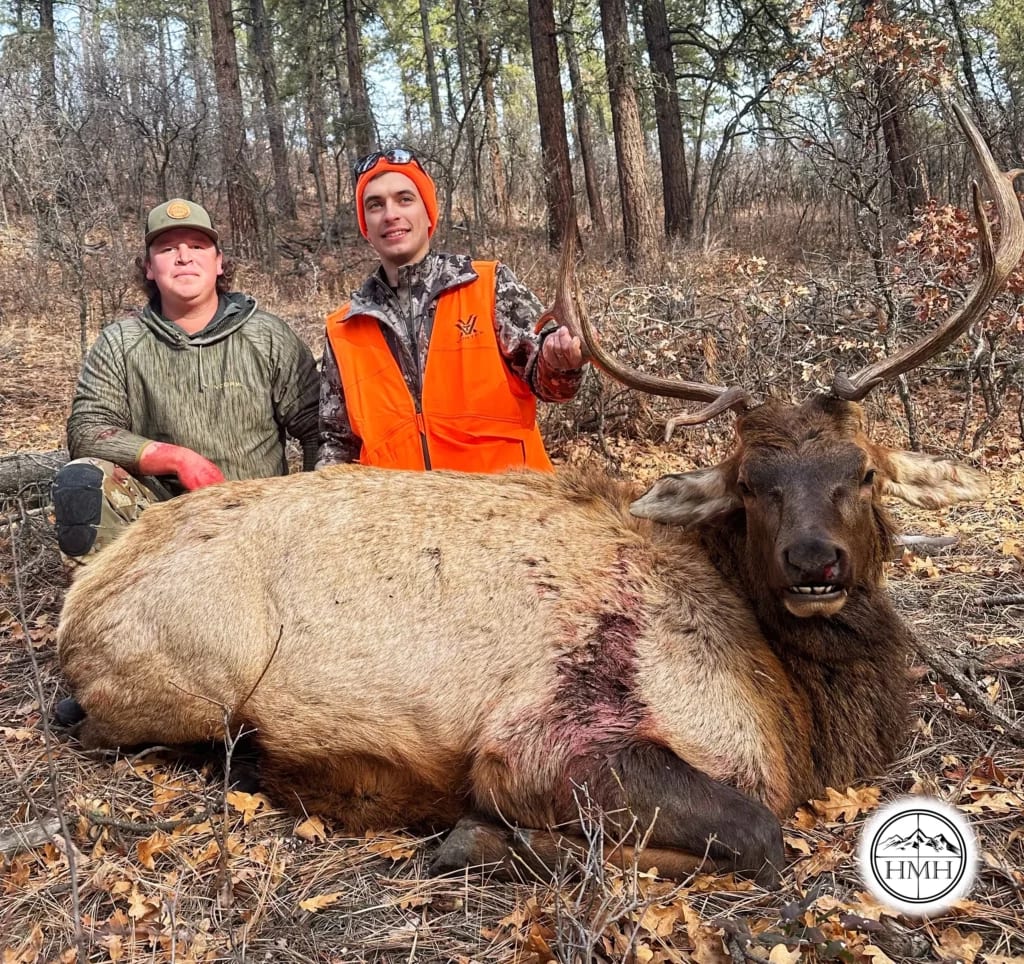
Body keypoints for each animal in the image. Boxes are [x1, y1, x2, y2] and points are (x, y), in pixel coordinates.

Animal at [55, 104, 1023, 885]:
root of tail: (78, 602)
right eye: (750, 484)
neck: (798, 714)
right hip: (191, 676)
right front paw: (473, 836)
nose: (814, 563)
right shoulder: (554, 733)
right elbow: (756, 833)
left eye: (861, 472)